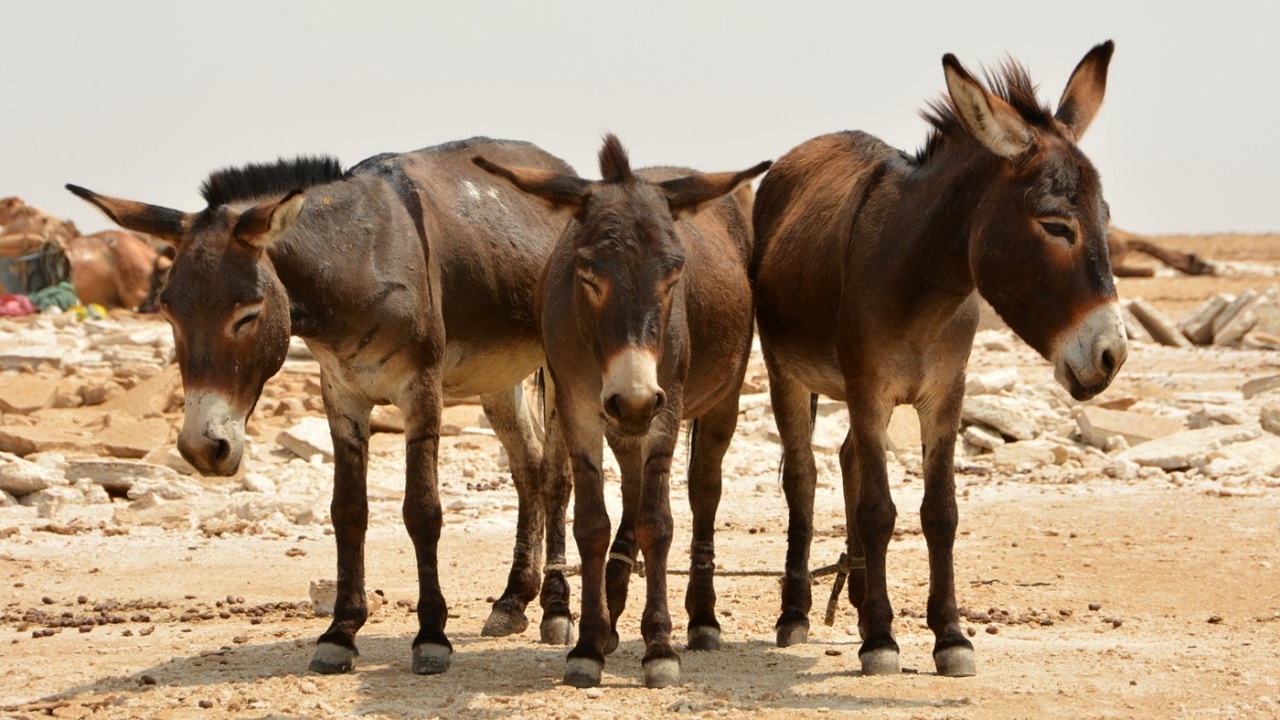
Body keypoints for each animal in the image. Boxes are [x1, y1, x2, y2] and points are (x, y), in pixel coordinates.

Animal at [66, 137, 577, 676]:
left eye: (248, 314)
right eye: (168, 312)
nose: (203, 449)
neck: (356, 259)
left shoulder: (420, 390)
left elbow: (422, 511)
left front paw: (431, 637)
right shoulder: (340, 393)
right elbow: (347, 510)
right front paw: (339, 633)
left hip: (558, 363)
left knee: (555, 477)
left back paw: (556, 611)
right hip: (497, 375)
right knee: (527, 467)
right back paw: (512, 601)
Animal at [474, 135, 770, 688]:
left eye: (675, 274)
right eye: (588, 275)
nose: (635, 397)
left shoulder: (666, 407)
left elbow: (659, 521)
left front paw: (660, 649)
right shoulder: (579, 409)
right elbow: (592, 523)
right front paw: (590, 644)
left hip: (723, 395)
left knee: (703, 490)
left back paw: (702, 619)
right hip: (623, 421)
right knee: (631, 489)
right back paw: (614, 608)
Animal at [750, 42, 1127, 678]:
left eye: (1106, 219)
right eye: (1055, 225)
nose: (1112, 355)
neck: (925, 282)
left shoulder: (946, 393)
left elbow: (940, 511)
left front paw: (949, 636)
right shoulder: (870, 389)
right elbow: (879, 510)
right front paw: (881, 640)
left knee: (848, 457)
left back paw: (856, 599)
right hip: (786, 372)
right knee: (802, 476)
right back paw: (797, 613)